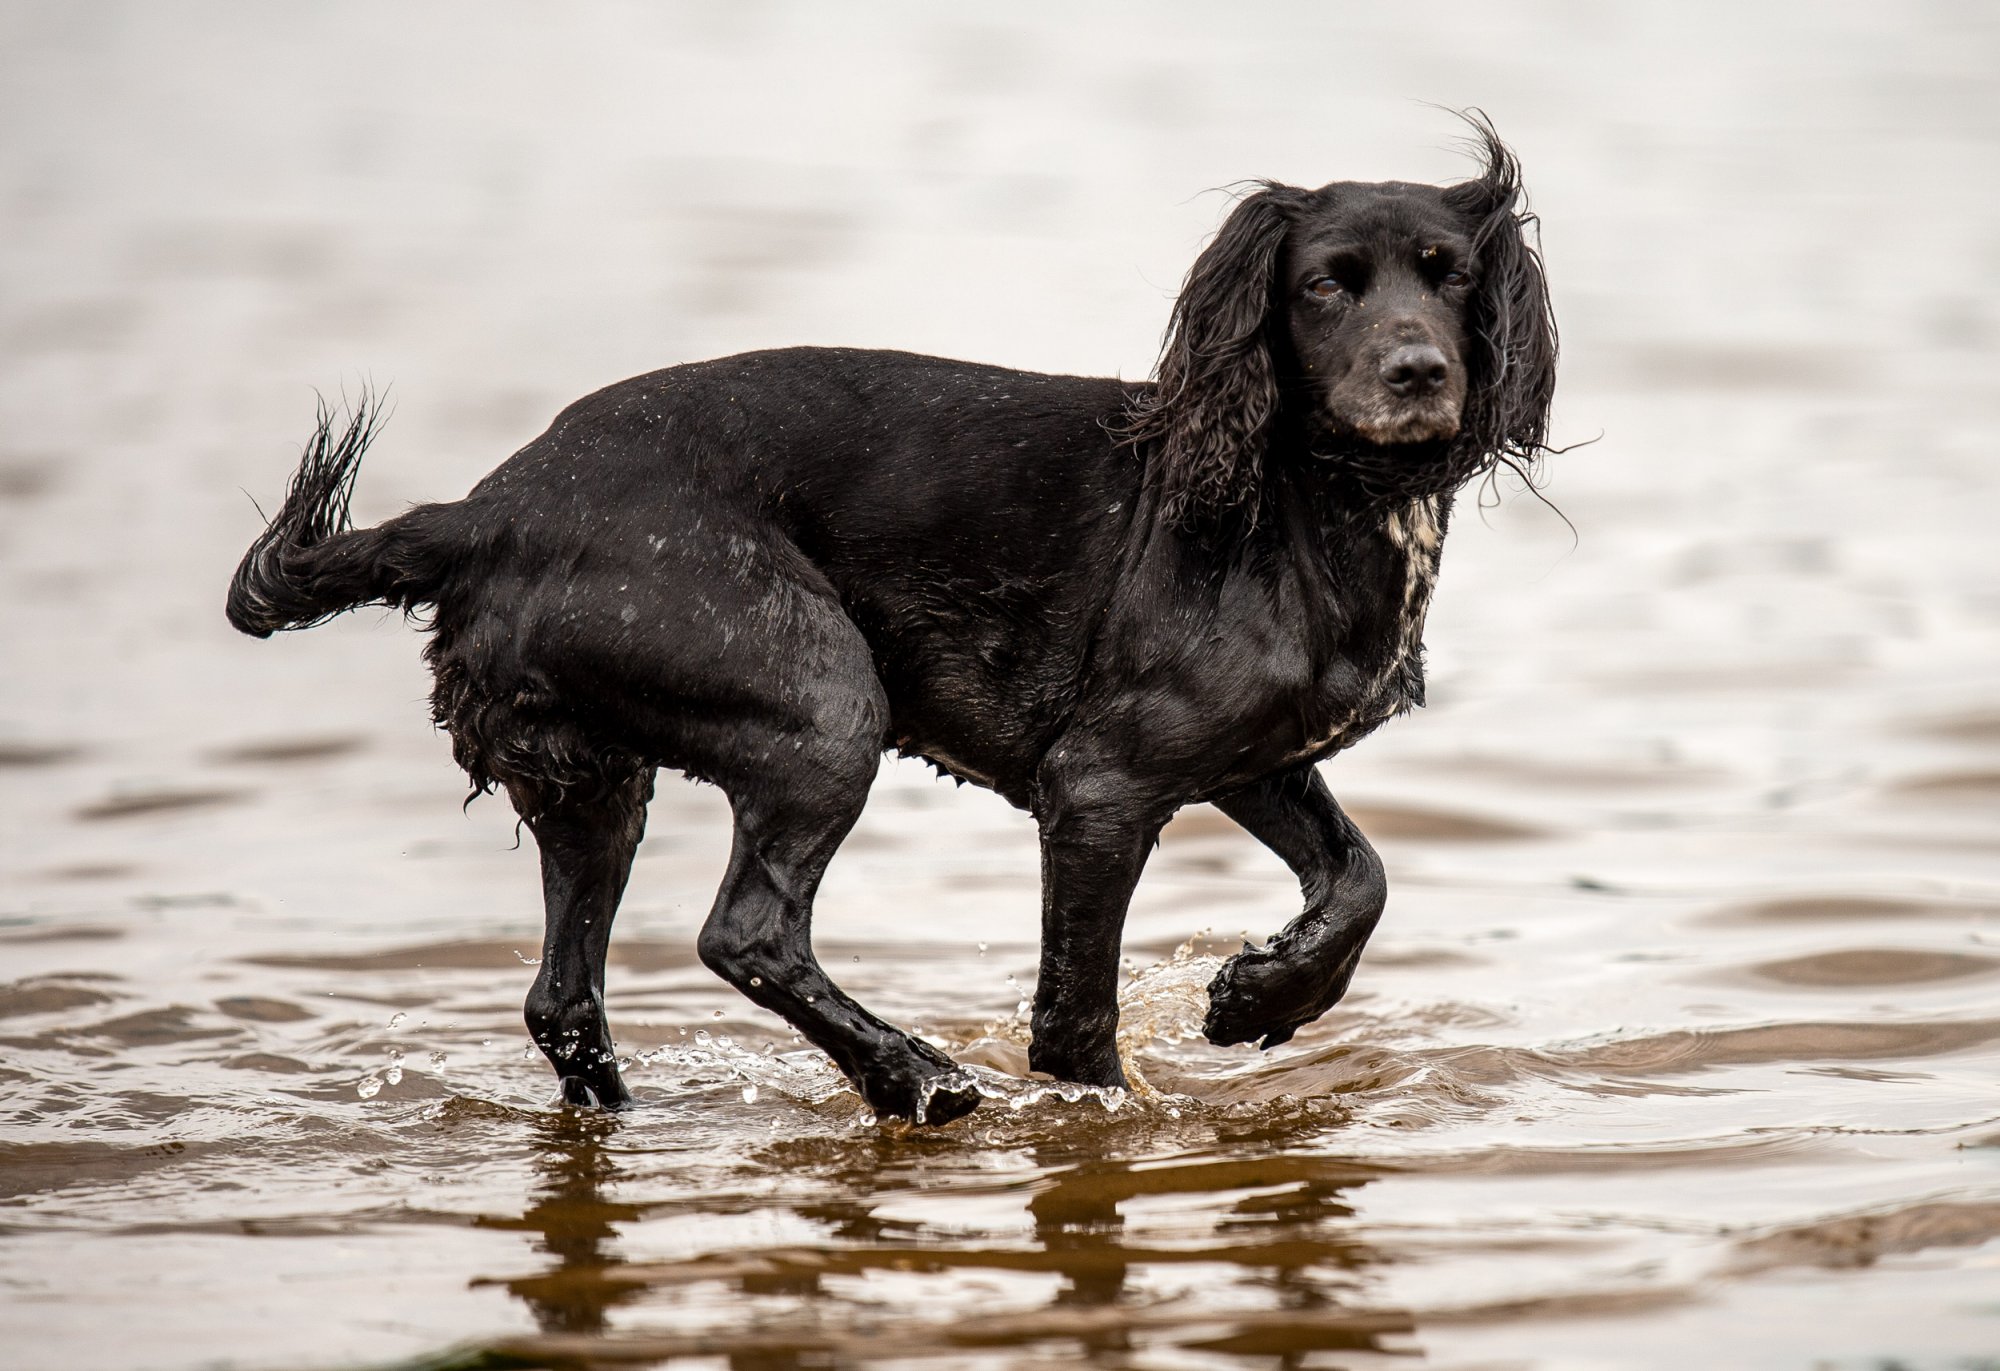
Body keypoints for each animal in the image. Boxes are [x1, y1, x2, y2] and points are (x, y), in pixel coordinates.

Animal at [227, 117, 1552, 1127]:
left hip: (593, 781)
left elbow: (1360, 873)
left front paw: (1265, 996)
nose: (1417, 373)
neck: (1297, 498)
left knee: (564, 999)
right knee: (747, 933)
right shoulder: (1100, 783)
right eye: (1325, 283)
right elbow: (1077, 1017)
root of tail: (485, 511)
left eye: (1447, 272)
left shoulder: (1251, 761)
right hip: (818, 707)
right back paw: (914, 1080)